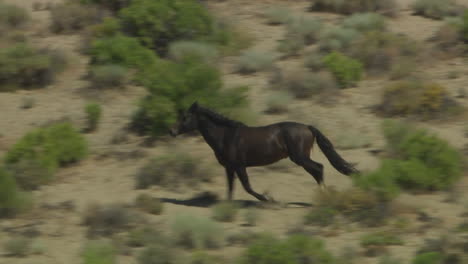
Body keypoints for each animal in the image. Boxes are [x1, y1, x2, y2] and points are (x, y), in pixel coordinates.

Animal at [170, 102, 356, 201]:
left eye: (186, 117)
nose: (171, 131)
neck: (226, 135)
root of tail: (307, 127)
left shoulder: (239, 166)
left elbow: (247, 187)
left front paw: (268, 199)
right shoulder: (229, 167)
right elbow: (230, 188)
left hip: (299, 157)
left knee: (319, 168)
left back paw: (324, 194)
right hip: (300, 158)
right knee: (316, 170)